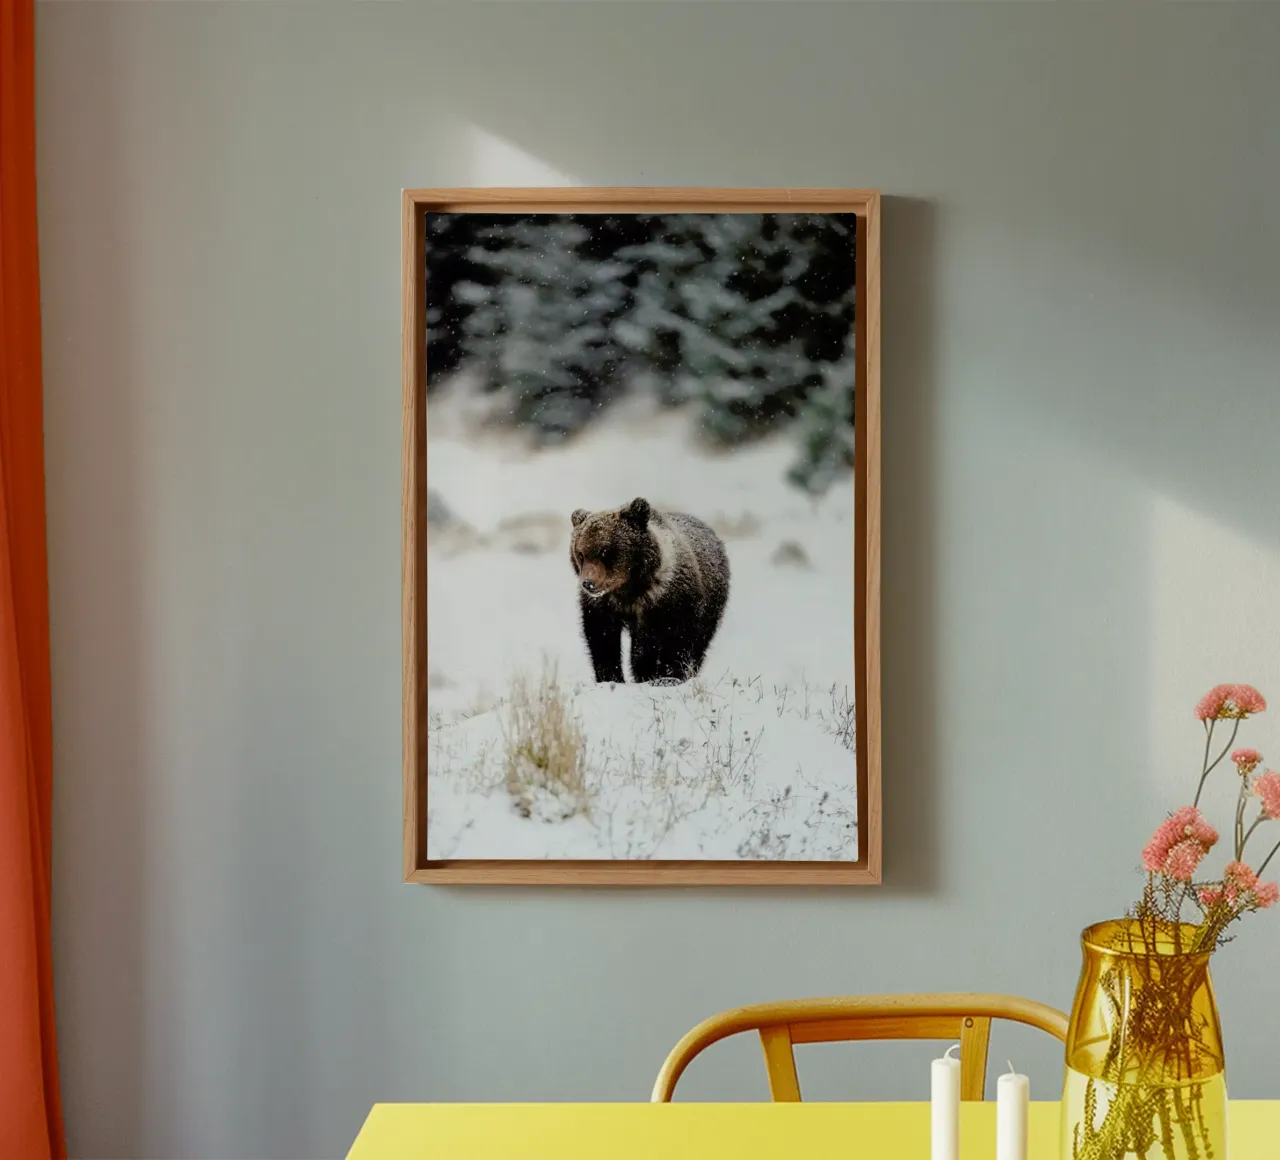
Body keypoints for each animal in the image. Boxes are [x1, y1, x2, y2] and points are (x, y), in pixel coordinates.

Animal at [569, 497, 730, 685]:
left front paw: (667, 676)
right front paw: (611, 677)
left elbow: (674, 642)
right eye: (581, 554)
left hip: (712, 605)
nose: (588, 583)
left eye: (605, 551)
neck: (629, 590)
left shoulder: (670, 602)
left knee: (700, 642)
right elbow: (602, 640)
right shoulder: (603, 606)